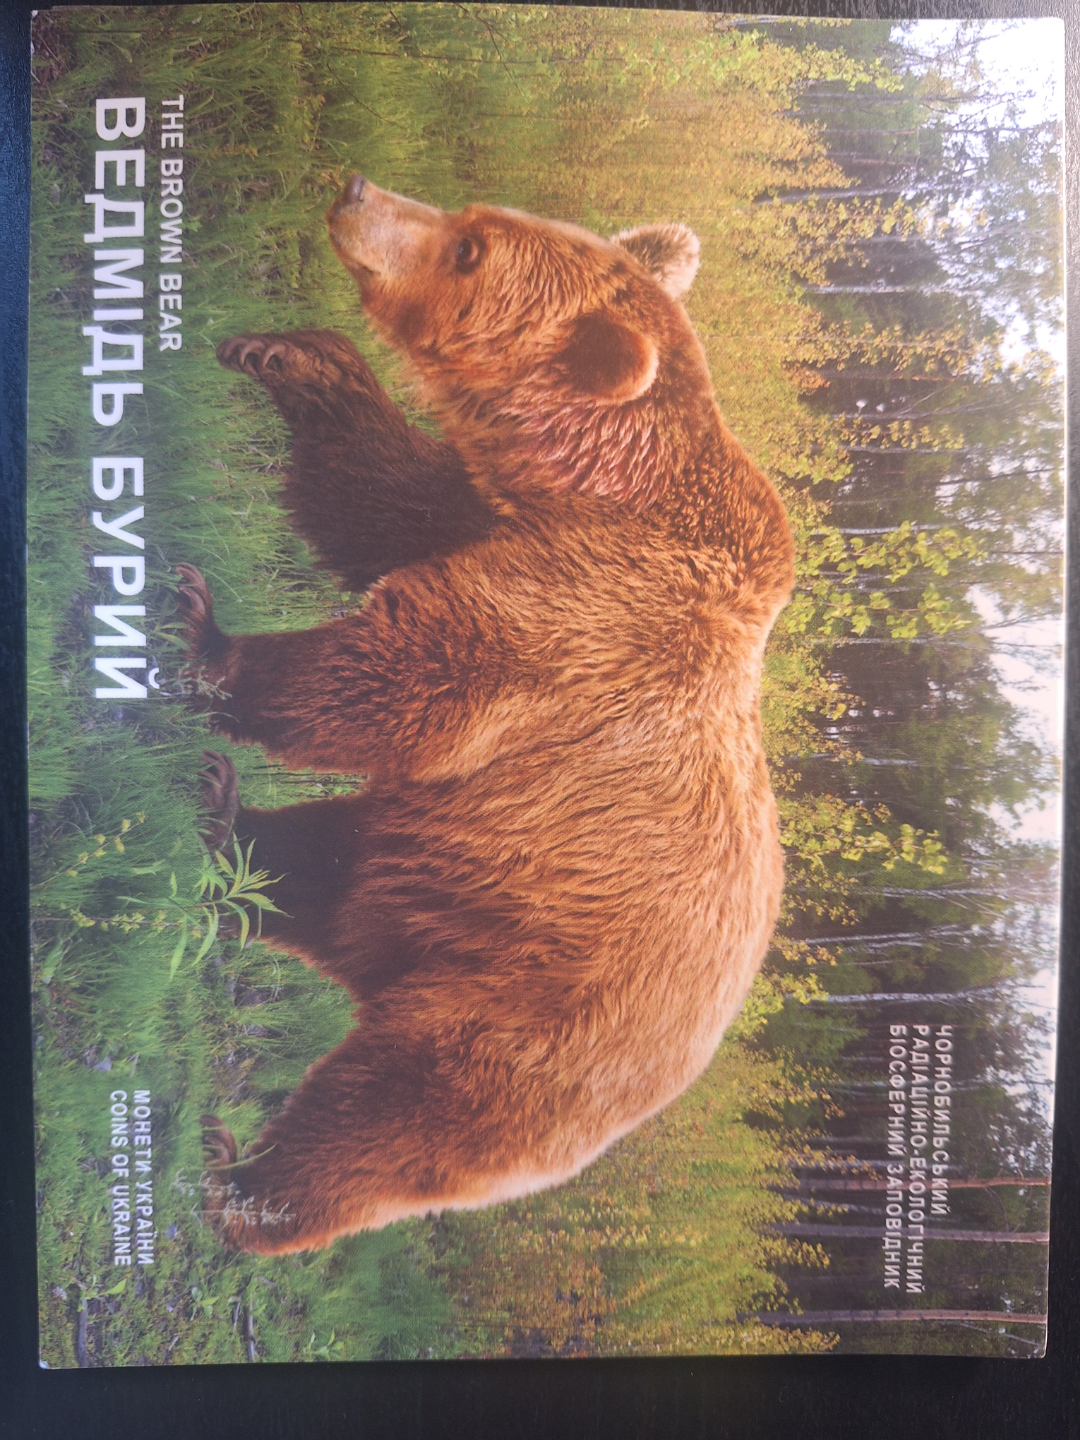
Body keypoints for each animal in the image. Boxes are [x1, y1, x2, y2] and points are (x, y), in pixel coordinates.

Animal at [178, 173, 795, 1254]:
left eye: (471, 248)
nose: (358, 191)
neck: (595, 492)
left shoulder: (586, 623)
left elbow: (408, 680)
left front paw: (207, 645)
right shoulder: (483, 520)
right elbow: (374, 499)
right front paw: (290, 357)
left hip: (520, 1022)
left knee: (380, 1116)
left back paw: (247, 1189)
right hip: (449, 882)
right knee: (326, 869)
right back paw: (226, 825)